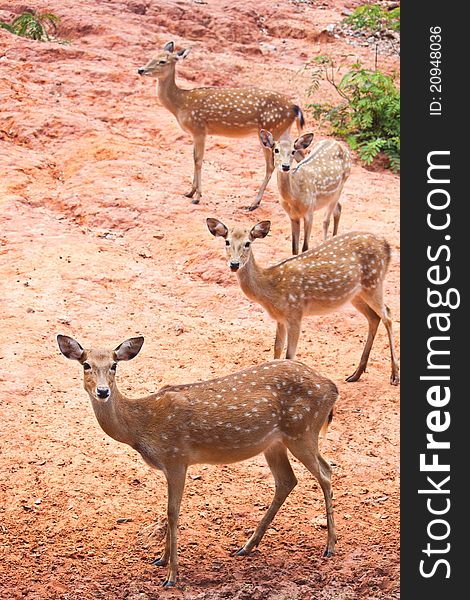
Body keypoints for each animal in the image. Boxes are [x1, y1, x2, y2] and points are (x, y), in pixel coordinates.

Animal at [57, 336, 338, 588]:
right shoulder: (170, 465)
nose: (103, 391)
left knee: (325, 472)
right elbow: (168, 511)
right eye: (86, 364)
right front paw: (160, 559)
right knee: (287, 480)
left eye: (114, 365)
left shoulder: (176, 457)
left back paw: (330, 546)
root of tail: (332, 388)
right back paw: (246, 546)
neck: (141, 427)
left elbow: (172, 512)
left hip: (302, 430)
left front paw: (171, 576)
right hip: (275, 443)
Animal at [136, 42, 306, 209]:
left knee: (271, 165)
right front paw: (189, 192)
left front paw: (197, 197)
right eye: (152, 56)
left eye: (162, 61)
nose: (140, 70)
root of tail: (295, 107)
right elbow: (194, 158)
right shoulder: (195, 133)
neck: (180, 103)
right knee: (298, 154)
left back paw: (254, 203)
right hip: (283, 130)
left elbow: (198, 159)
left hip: (270, 128)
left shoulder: (199, 129)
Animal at [207, 219, 398, 384]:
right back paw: (356, 374)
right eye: (227, 241)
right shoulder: (280, 318)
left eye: (248, 243)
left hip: (374, 282)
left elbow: (289, 355)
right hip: (356, 294)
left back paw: (394, 375)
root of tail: (387, 246)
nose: (234, 264)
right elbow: (277, 349)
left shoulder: (295, 313)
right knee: (374, 317)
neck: (270, 290)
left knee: (388, 315)